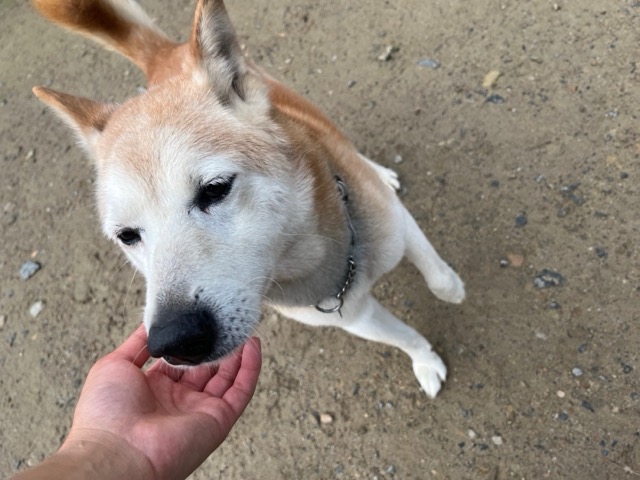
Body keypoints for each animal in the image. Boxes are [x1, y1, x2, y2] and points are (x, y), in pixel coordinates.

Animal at [31, 0, 465, 398]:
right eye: (127, 235)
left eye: (215, 188)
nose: (174, 340)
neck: (319, 253)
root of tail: (164, 58)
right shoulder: (357, 316)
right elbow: (405, 337)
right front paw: (425, 361)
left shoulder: (396, 223)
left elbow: (439, 280)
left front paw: (454, 290)